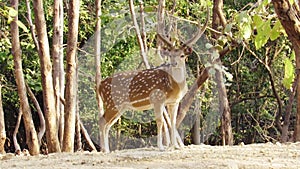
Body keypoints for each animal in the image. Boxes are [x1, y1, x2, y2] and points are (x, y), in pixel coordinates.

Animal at [98, 15, 209, 153]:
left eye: (182, 55)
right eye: (171, 55)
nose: (174, 63)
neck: (174, 87)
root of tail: (99, 86)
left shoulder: (173, 102)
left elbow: (173, 122)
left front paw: (175, 146)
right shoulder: (157, 98)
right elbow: (160, 122)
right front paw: (161, 147)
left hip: (119, 106)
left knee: (107, 124)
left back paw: (106, 149)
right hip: (112, 103)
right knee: (102, 121)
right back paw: (104, 150)